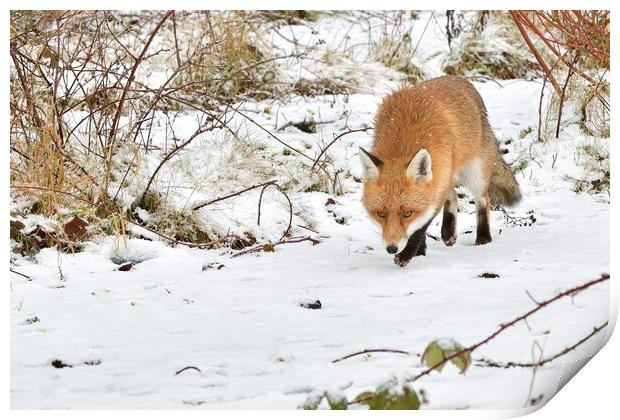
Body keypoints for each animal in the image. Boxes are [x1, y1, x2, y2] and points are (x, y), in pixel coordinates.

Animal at [360, 75, 520, 266]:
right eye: (380, 214)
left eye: (407, 213)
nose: (392, 248)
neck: (402, 145)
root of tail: (459, 78)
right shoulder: (437, 180)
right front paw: (420, 251)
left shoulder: (438, 182)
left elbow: (420, 227)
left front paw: (408, 254)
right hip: (447, 175)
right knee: (453, 194)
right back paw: (448, 232)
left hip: (474, 174)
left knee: (483, 199)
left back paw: (483, 238)